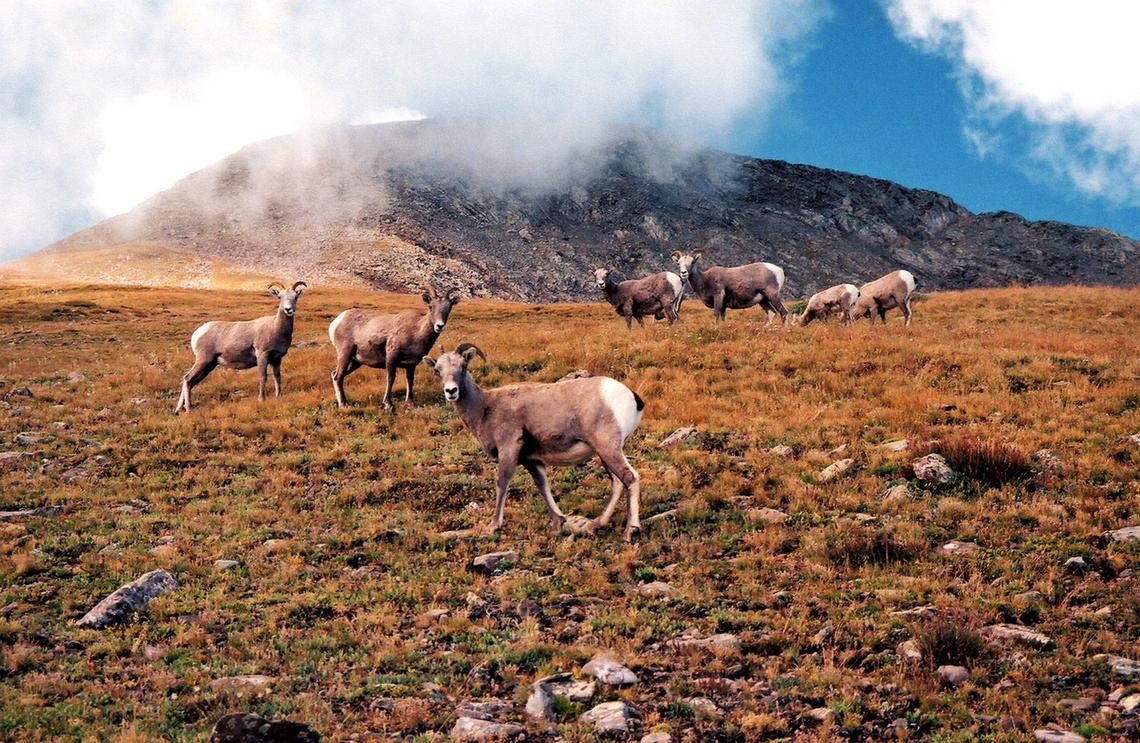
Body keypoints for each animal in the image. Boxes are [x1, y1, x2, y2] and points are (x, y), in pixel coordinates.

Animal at [173, 281, 306, 413]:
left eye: (296, 297)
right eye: (279, 297)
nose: (288, 309)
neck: (276, 327)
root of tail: (197, 334)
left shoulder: (277, 359)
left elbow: (277, 377)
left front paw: (278, 397)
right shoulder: (262, 355)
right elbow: (263, 377)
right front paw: (261, 399)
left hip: (209, 365)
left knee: (189, 381)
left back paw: (179, 409)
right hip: (203, 361)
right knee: (188, 379)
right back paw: (188, 409)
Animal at [330, 286, 460, 410]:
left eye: (449, 308)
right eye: (431, 306)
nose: (439, 326)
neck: (416, 332)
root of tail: (336, 322)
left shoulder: (411, 364)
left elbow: (410, 381)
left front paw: (411, 404)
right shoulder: (391, 358)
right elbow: (390, 379)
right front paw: (388, 404)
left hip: (355, 361)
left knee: (335, 374)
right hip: (345, 354)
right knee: (338, 377)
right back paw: (343, 404)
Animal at [423, 343, 645, 541]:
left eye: (463, 366)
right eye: (437, 370)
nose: (451, 391)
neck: (484, 406)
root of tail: (632, 396)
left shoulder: (508, 450)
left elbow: (502, 483)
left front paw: (493, 526)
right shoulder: (532, 461)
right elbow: (542, 486)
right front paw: (558, 523)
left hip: (607, 448)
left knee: (629, 478)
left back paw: (629, 532)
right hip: (606, 452)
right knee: (617, 482)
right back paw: (594, 525)